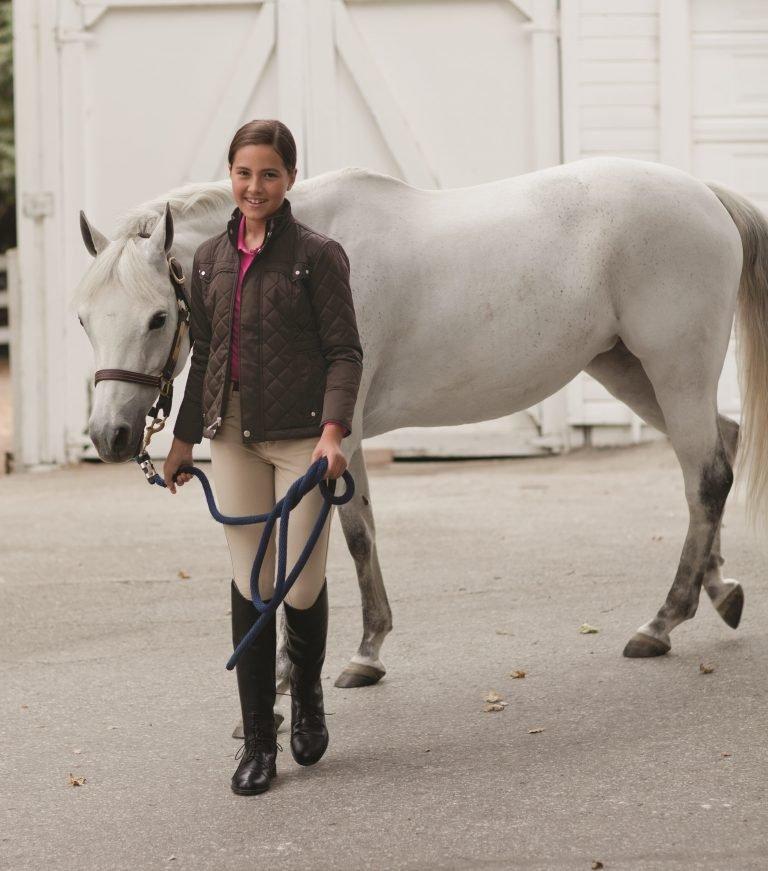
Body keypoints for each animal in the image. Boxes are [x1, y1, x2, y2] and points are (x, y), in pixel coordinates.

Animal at [74, 156, 768, 708]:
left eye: (158, 316)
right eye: (83, 318)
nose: (109, 435)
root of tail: (704, 193)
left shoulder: (336, 434)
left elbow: (341, 540)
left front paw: (347, 659)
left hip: (675, 368)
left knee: (706, 477)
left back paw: (662, 622)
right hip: (632, 371)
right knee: (715, 455)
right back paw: (718, 591)